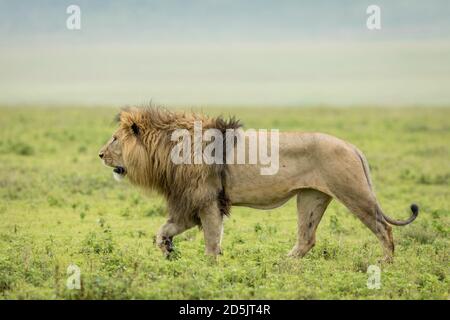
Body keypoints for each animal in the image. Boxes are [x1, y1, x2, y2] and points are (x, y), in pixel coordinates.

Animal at [99, 107, 418, 262]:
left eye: (114, 139)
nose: (100, 154)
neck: (166, 150)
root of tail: (352, 146)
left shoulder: (208, 200)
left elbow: (211, 242)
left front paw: (210, 270)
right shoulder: (189, 203)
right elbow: (163, 230)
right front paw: (167, 251)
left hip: (354, 193)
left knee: (384, 228)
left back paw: (386, 263)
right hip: (311, 198)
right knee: (307, 239)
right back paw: (283, 264)